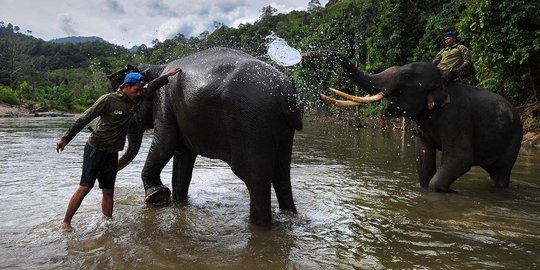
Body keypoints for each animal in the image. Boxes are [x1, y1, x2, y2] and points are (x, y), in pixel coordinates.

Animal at [107, 47, 302, 226]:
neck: (157, 67)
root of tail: (286, 93)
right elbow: (183, 157)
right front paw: (177, 202)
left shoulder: (163, 100)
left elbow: (165, 143)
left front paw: (157, 196)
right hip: (282, 129)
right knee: (281, 173)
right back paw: (289, 216)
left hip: (251, 124)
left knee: (255, 177)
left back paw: (258, 226)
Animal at [302, 50, 520, 192]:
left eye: (406, 76)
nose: (305, 54)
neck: (443, 83)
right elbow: (422, 158)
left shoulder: (457, 119)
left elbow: (461, 158)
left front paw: (449, 191)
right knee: (492, 170)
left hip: (514, 139)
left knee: (502, 170)